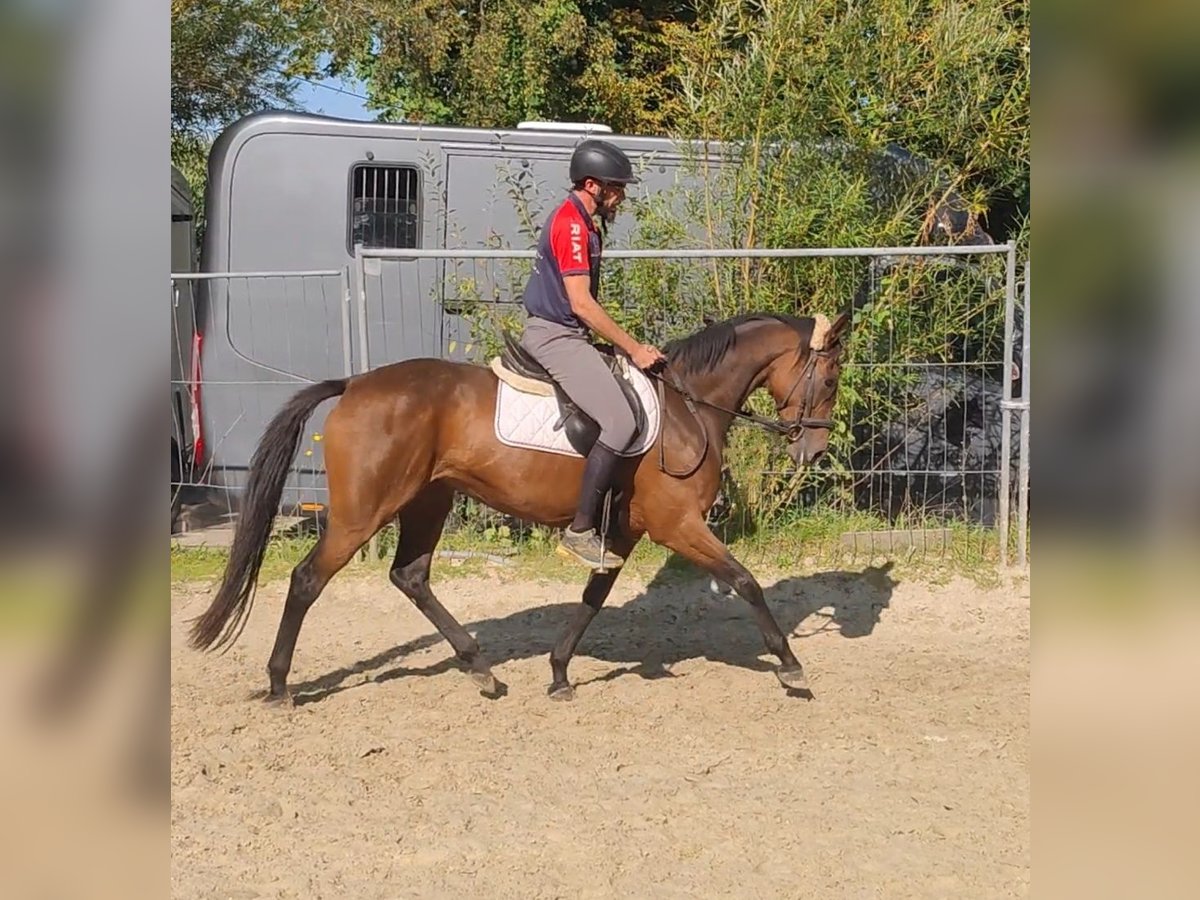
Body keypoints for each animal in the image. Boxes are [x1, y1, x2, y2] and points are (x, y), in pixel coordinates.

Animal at [187, 312, 849, 705]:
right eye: (832, 377)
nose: (814, 451)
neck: (689, 407)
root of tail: (353, 384)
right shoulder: (678, 527)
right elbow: (746, 581)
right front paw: (791, 667)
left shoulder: (624, 533)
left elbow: (594, 596)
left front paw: (558, 672)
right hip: (361, 514)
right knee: (307, 579)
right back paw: (279, 684)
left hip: (428, 500)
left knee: (411, 576)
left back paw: (481, 668)